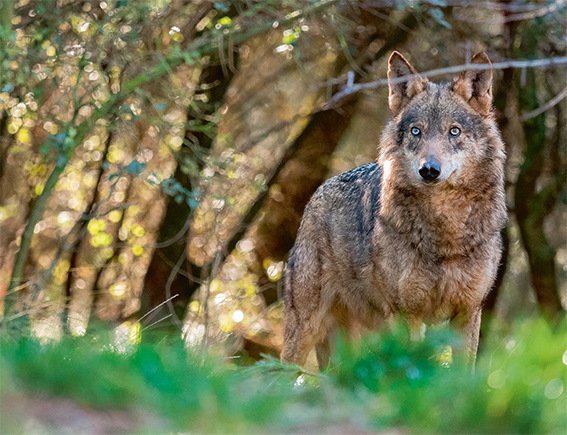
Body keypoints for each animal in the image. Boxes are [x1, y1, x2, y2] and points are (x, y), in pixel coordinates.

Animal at [282, 52, 508, 372]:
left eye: (454, 131)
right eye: (416, 131)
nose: (429, 170)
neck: (445, 235)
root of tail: (319, 190)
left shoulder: (468, 313)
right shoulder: (407, 314)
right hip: (306, 328)